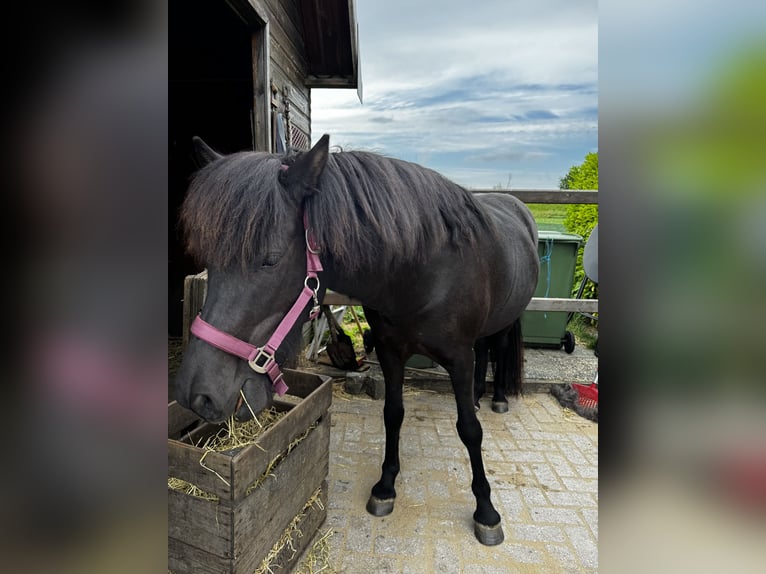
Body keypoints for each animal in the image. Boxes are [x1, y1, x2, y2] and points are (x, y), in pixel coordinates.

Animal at [174, 135, 539, 545]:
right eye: (209, 259)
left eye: (269, 260)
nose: (196, 394)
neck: (424, 270)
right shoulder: (391, 351)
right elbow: (393, 414)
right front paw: (385, 487)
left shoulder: (459, 359)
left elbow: (470, 432)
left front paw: (486, 511)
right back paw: (478, 396)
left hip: (506, 321)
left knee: (498, 349)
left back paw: (497, 399)